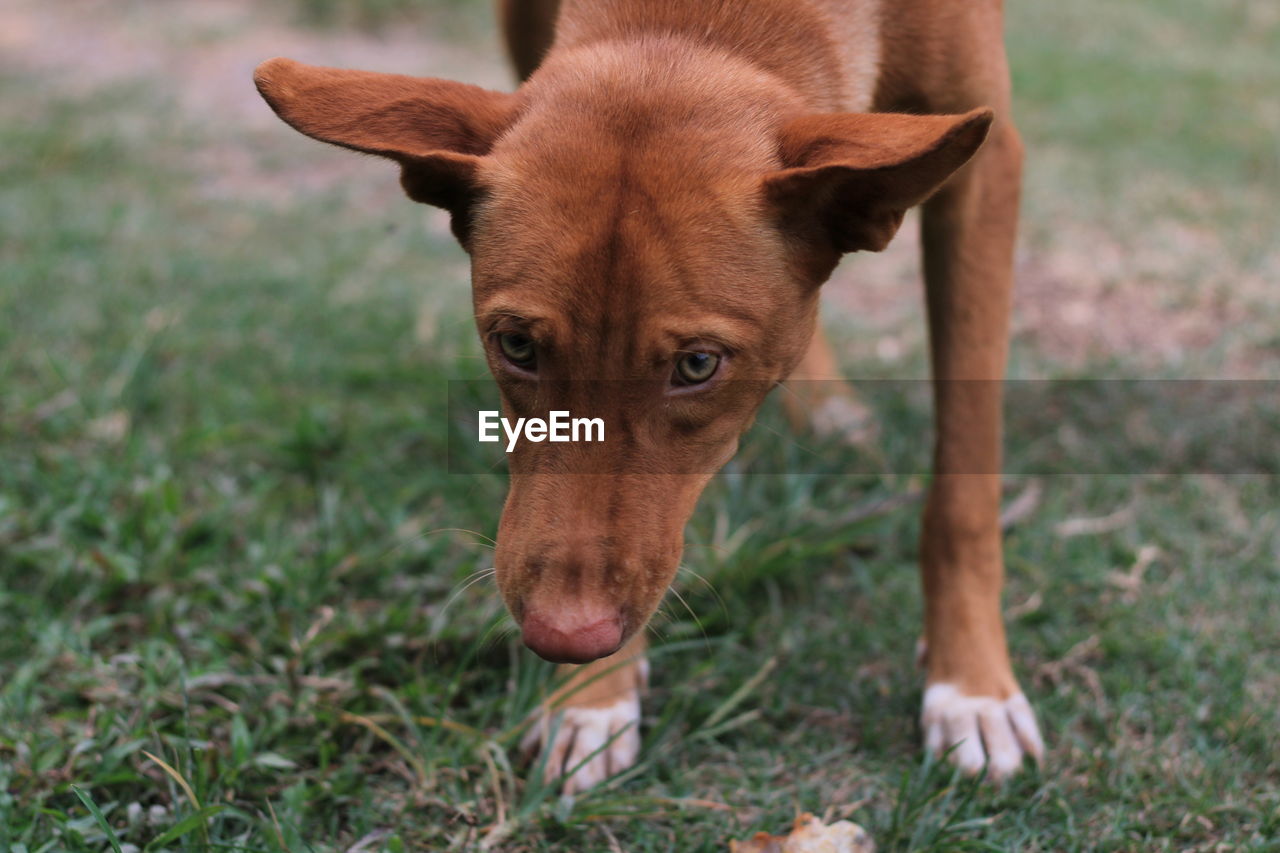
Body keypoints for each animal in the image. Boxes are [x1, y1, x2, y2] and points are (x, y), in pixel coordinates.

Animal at [254, 0, 1044, 788]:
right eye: (516, 346)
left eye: (697, 365)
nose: (564, 637)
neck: (693, 25)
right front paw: (592, 696)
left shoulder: (987, 167)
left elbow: (964, 484)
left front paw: (970, 684)